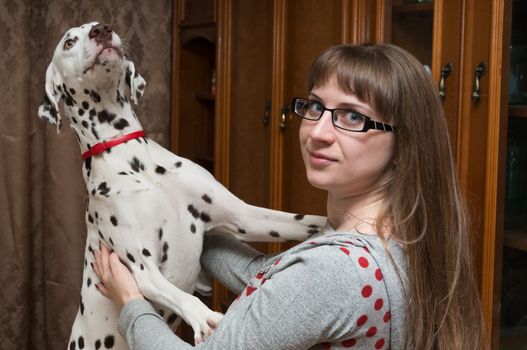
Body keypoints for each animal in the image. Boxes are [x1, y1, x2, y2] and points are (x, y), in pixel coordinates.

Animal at [38, 22, 326, 350]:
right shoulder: (143, 269)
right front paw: (205, 318)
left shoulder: (245, 216)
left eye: (99, 27)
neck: (133, 158)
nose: (102, 30)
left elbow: (308, 221)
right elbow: (181, 296)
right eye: (69, 42)